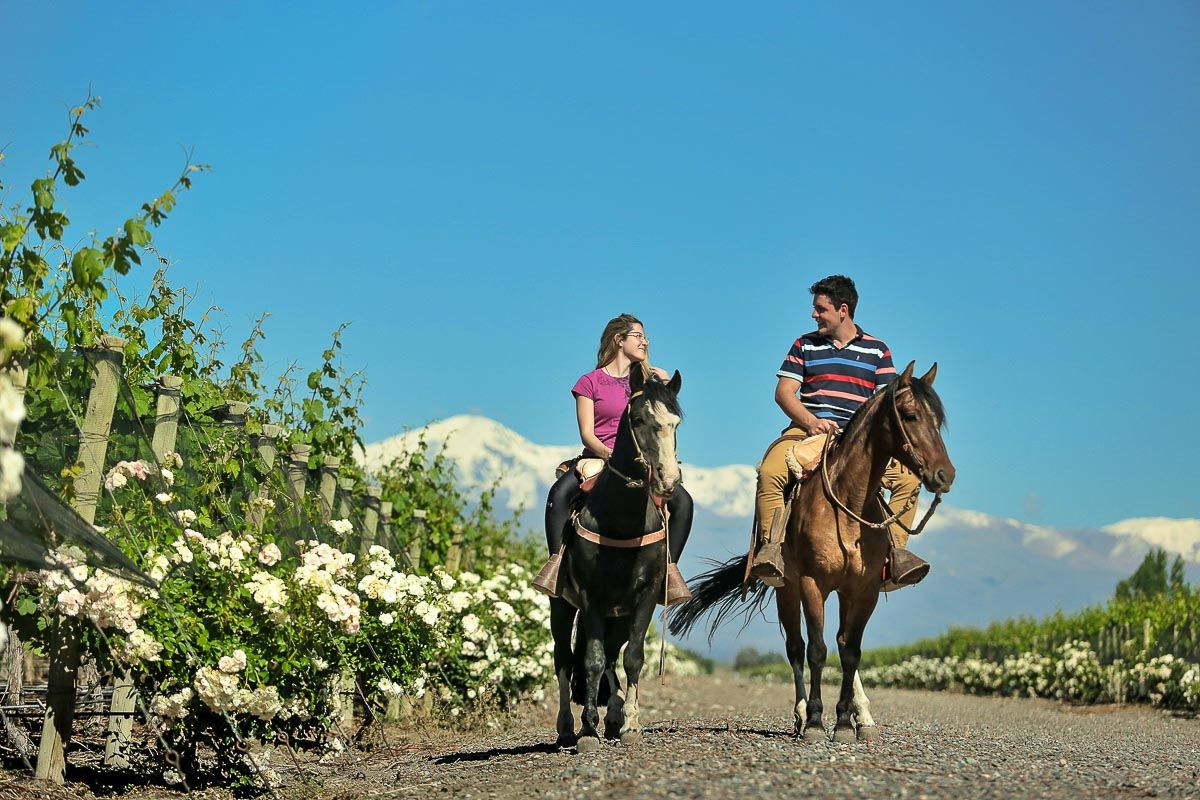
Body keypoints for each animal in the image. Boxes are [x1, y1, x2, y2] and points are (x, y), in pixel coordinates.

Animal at [549, 367, 681, 753]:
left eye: (675, 422)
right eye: (638, 419)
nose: (668, 480)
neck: (621, 520)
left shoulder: (646, 597)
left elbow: (632, 657)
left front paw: (631, 725)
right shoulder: (591, 597)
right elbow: (590, 661)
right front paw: (587, 731)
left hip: (618, 613)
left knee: (611, 654)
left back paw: (613, 716)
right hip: (561, 604)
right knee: (564, 658)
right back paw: (568, 728)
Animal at [667, 362, 955, 743]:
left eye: (938, 419)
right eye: (910, 415)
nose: (945, 475)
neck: (848, 504)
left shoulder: (862, 591)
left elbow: (850, 652)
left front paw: (846, 722)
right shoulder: (811, 583)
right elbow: (817, 650)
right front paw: (818, 722)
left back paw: (862, 717)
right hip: (786, 590)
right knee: (795, 648)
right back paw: (802, 714)